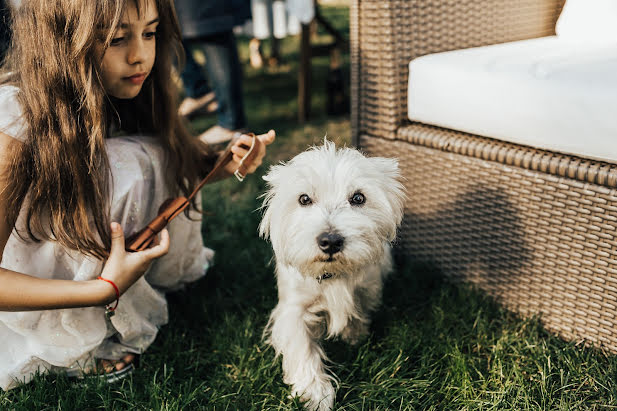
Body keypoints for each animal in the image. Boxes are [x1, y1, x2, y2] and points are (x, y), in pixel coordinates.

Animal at [258, 140, 406, 410]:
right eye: (304, 198)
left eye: (358, 197)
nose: (330, 241)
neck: (332, 275)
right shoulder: (294, 308)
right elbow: (302, 348)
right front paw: (315, 394)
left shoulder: (366, 288)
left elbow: (359, 310)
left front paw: (354, 335)